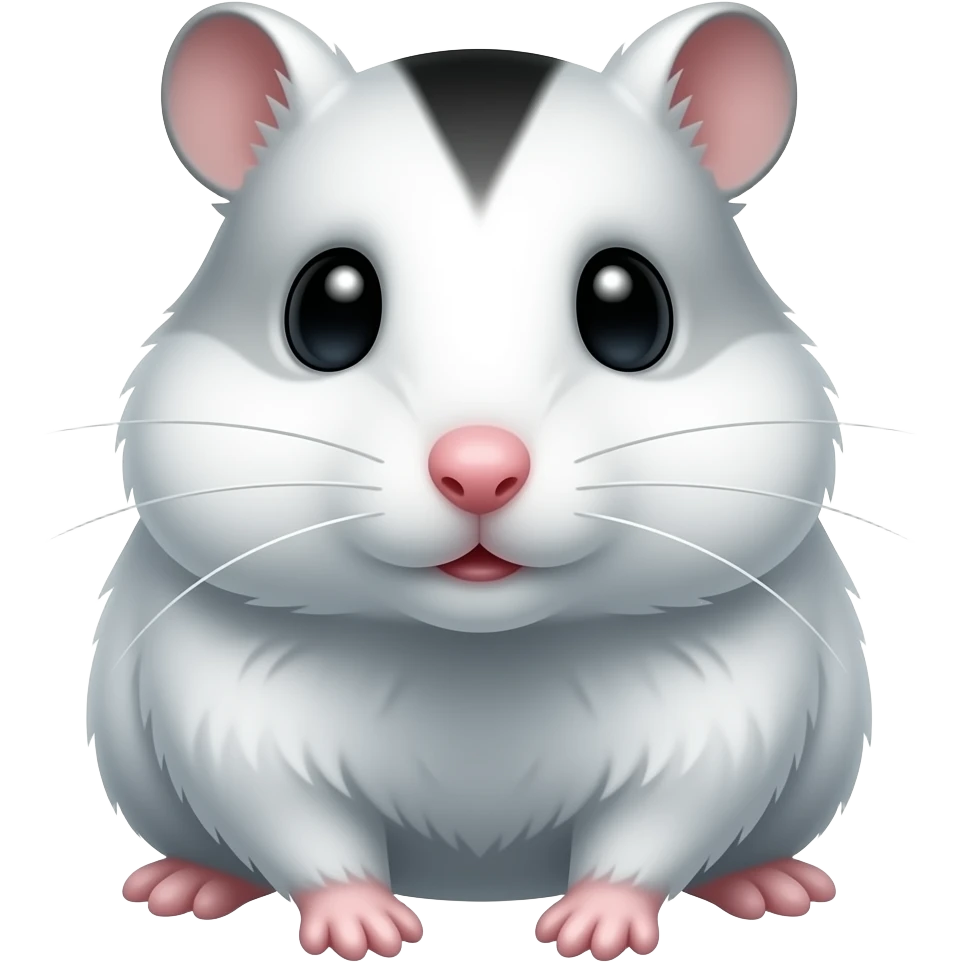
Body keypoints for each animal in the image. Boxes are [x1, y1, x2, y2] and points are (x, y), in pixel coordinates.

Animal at [83, 3, 875, 959]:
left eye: (630, 310)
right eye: (326, 310)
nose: (479, 471)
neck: (479, 654)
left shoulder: (726, 718)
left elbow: (660, 827)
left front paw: (597, 929)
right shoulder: (230, 718)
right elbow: (297, 827)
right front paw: (360, 929)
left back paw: (770, 884)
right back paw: (188, 884)